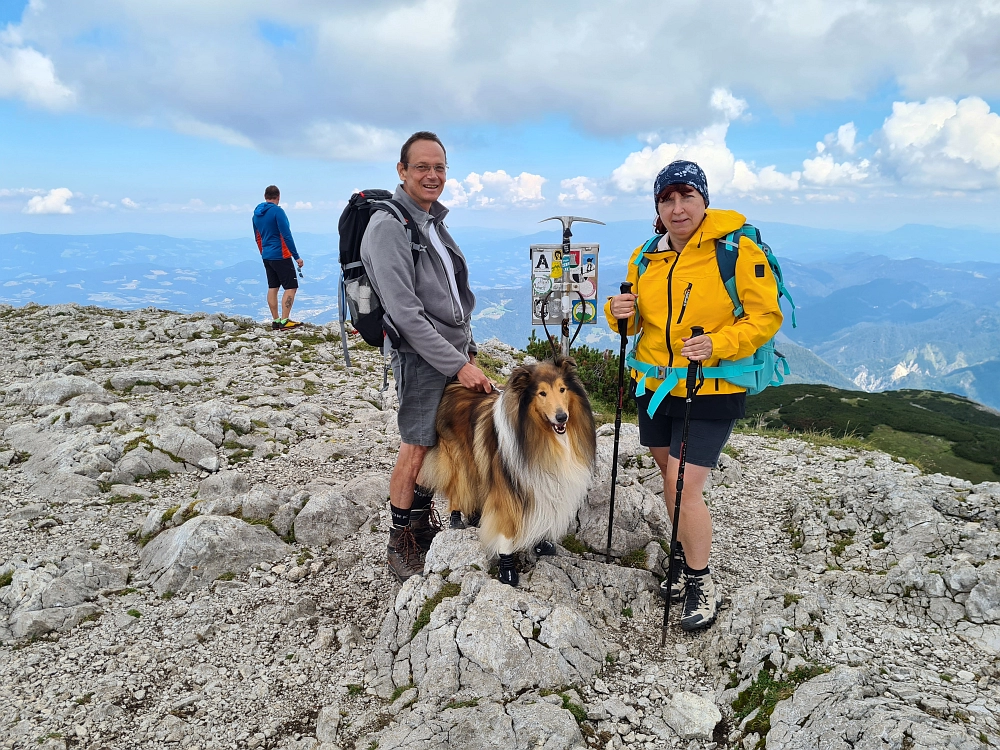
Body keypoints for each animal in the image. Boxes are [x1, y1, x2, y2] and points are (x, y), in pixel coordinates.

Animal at [420, 358, 592, 588]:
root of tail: (454, 384)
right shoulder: (508, 489)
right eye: (542, 393)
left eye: (562, 389)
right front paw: (507, 569)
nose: (561, 417)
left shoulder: (543, 483)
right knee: (458, 486)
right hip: (457, 458)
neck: (541, 437)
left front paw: (540, 543)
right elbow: (506, 531)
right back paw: (456, 517)